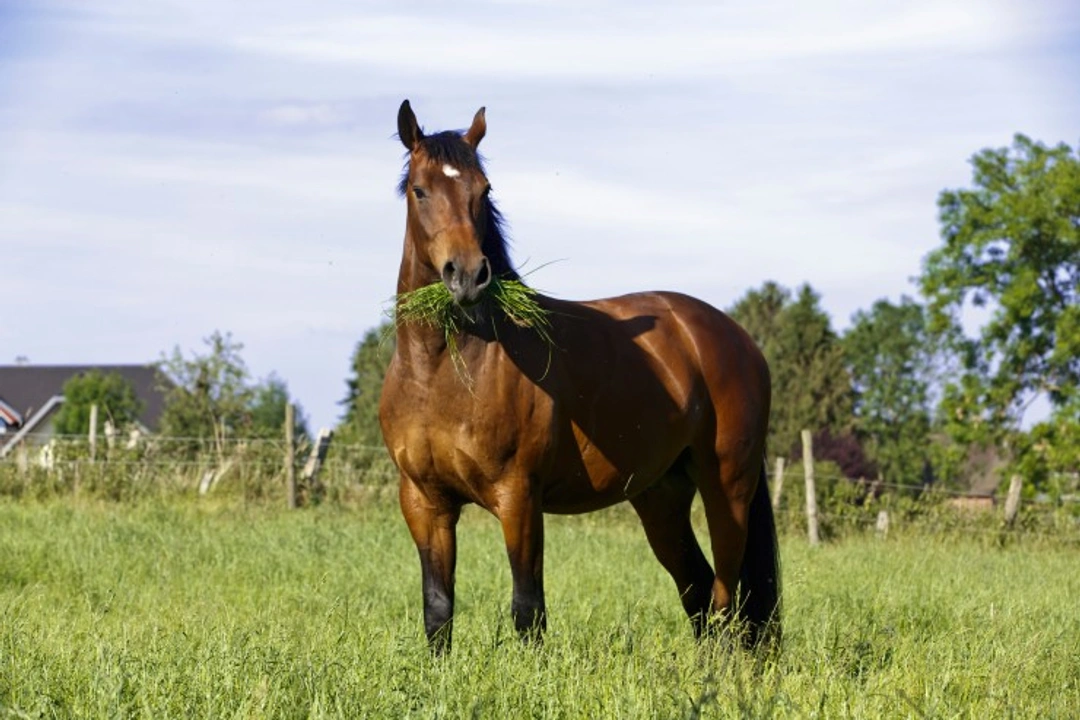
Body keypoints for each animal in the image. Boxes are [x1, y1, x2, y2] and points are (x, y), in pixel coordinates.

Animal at [379, 100, 779, 653]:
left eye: (484, 190)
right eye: (420, 190)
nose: (469, 275)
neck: (444, 371)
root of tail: (734, 338)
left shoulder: (519, 498)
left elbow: (528, 611)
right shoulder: (424, 502)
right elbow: (438, 611)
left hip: (728, 489)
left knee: (726, 599)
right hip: (660, 496)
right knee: (699, 591)